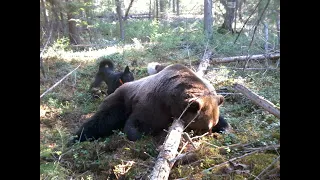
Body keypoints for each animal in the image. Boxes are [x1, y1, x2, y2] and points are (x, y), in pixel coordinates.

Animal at [72, 64, 225, 143]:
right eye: (205, 127)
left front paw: (224, 127)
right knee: (102, 120)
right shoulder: (154, 105)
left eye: (213, 124)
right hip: (119, 101)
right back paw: (77, 137)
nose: (210, 134)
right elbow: (137, 125)